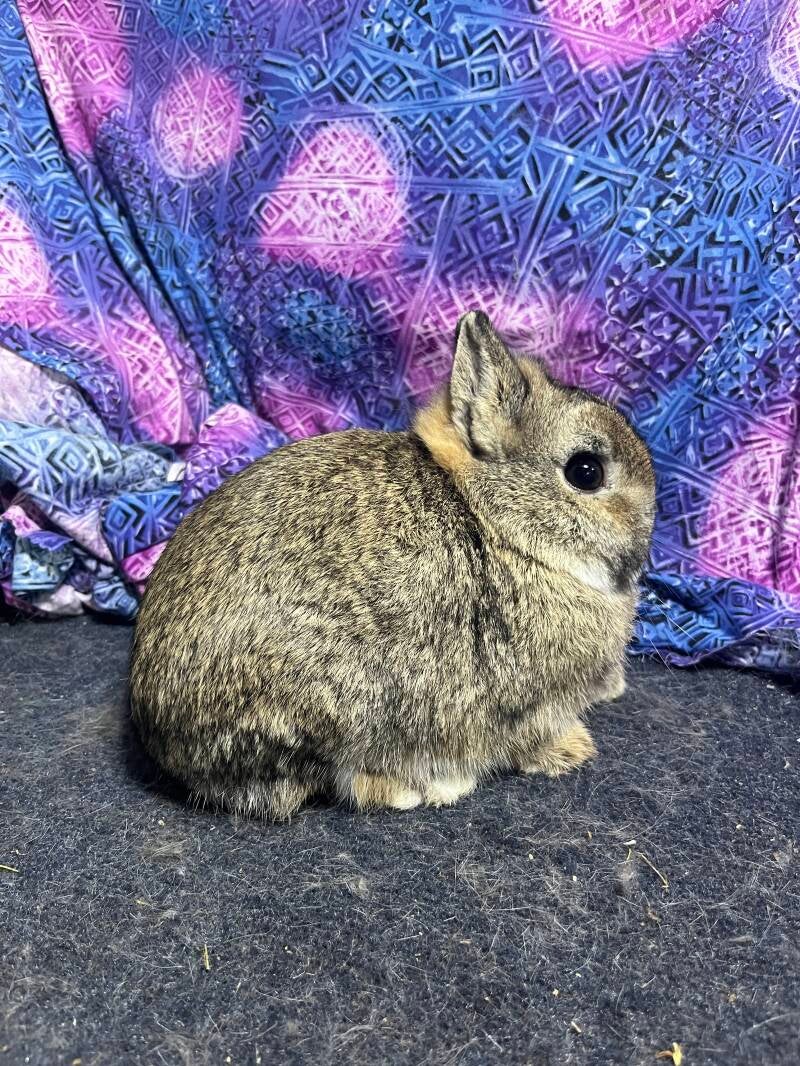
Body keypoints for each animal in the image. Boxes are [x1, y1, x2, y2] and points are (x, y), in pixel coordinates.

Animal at [129, 311, 655, 821]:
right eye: (585, 472)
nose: (644, 540)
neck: (499, 525)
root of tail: (163, 737)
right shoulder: (524, 702)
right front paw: (573, 750)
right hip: (343, 710)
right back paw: (426, 789)